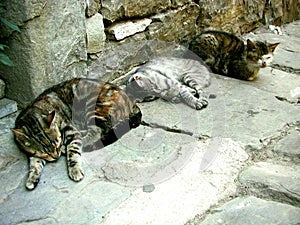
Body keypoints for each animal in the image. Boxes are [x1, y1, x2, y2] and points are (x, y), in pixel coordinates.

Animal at [12, 77, 142, 190]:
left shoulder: (69, 128)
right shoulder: (33, 154)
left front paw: (74, 169)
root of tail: (131, 102)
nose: (55, 156)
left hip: (92, 106)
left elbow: (73, 151)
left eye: (57, 143)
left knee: (98, 131)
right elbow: (34, 164)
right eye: (45, 153)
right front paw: (32, 178)